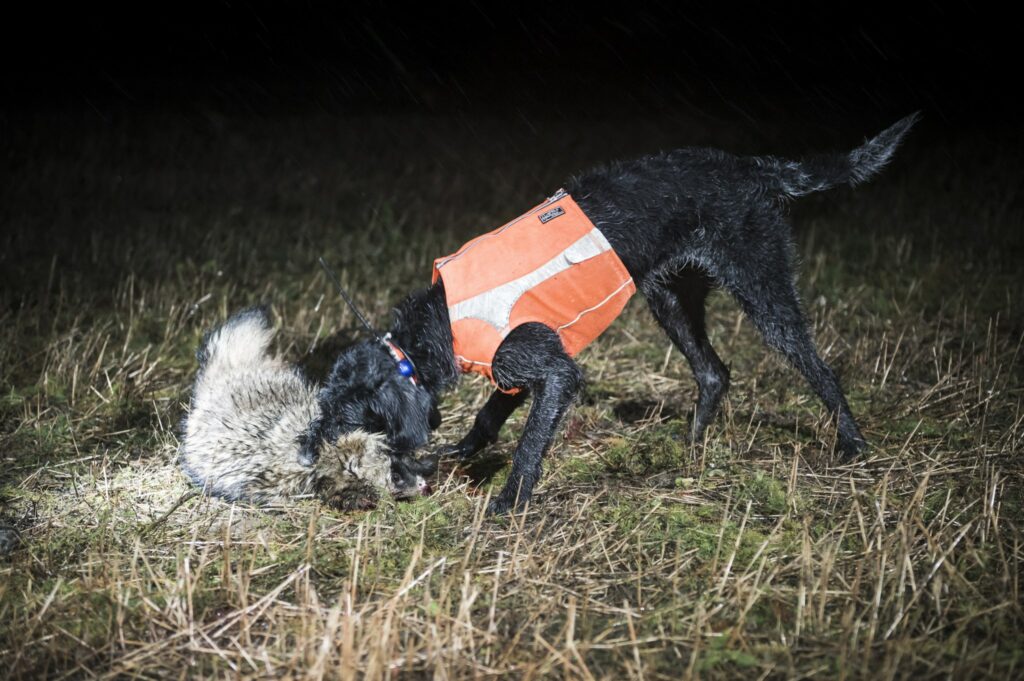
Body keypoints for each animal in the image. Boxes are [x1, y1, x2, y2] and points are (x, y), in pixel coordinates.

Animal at [301, 114, 921, 512]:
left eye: (346, 421)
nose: (305, 453)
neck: (439, 323)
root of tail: (754, 168)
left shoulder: (552, 371)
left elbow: (529, 443)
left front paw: (510, 501)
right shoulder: (518, 368)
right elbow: (490, 416)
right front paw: (467, 451)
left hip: (762, 287)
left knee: (818, 367)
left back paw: (851, 442)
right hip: (670, 299)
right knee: (714, 372)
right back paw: (691, 449)